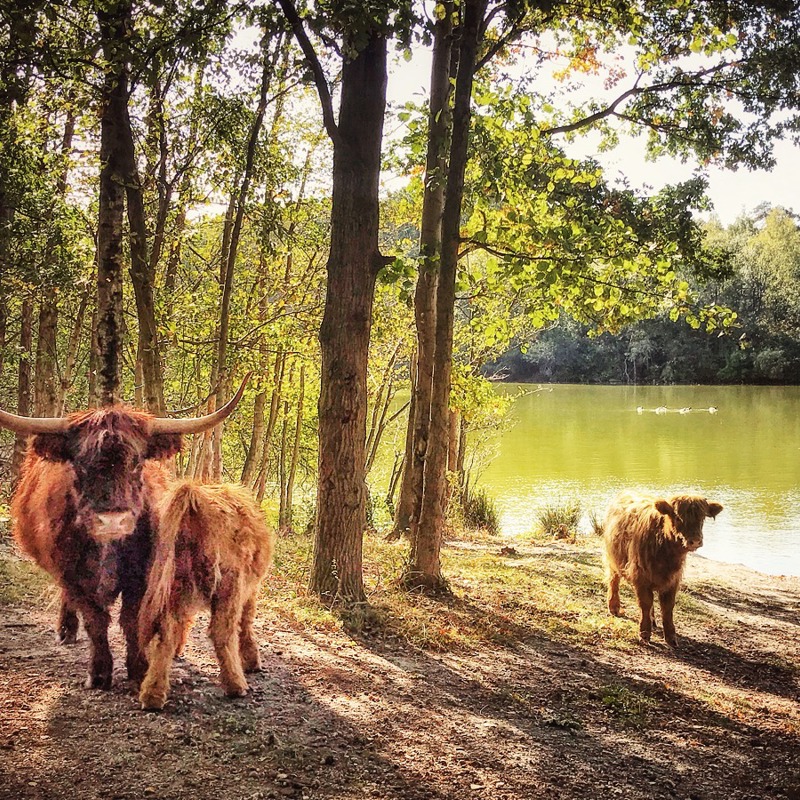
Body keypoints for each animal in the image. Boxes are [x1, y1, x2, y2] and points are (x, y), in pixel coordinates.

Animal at [2, 380, 247, 688]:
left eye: (137, 463)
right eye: (79, 464)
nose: (112, 521)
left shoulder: (142, 573)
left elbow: (131, 619)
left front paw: (138, 668)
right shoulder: (72, 575)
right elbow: (95, 621)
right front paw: (99, 673)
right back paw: (66, 630)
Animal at [138, 478, 276, 708]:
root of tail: (193, 493)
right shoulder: (250, 589)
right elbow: (246, 623)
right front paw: (252, 660)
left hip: (173, 584)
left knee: (166, 633)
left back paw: (152, 695)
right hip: (229, 585)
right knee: (222, 632)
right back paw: (236, 686)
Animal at [604, 490, 720, 648]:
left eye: (702, 518)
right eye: (677, 517)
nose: (695, 541)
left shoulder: (673, 580)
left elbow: (667, 607)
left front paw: (671, 638)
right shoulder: (641, 576)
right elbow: (645, 604)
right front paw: (644, 634)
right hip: (613, 560)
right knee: (613, 581)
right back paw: (614, 607)